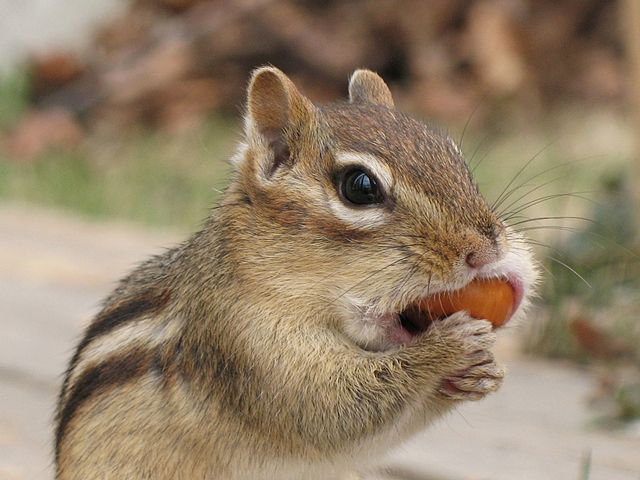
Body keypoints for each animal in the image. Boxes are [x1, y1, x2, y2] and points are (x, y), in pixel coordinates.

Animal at [54, 67, 537, 479]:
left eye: (453, 155)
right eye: (360, 186)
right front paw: (447, 347)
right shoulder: (248, 347)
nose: (486, 249)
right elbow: (334, 410)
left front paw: (485, 371)